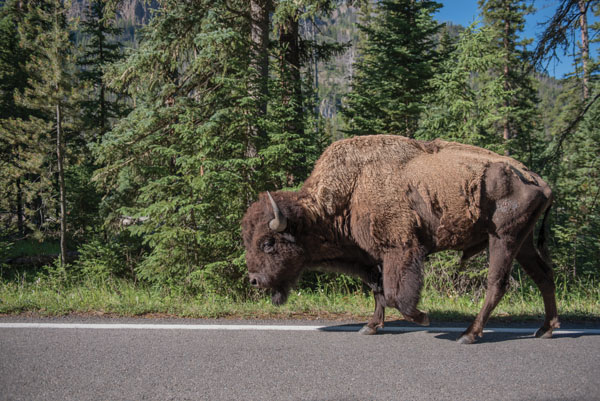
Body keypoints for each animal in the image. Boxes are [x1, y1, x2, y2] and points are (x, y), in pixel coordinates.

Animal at [241, 134, 560, 340]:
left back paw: (469, 334)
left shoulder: (400, 249)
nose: (254, 281)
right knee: (544, 276)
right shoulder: (370, 257)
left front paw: (422, 317)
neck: (350, 190)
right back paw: (544, 329)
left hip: (503, 238)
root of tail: (539, 181)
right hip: (523, 242)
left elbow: (396, 293)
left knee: (497, 283)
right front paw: (370, 327)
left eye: (268, 243)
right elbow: (379, 290)